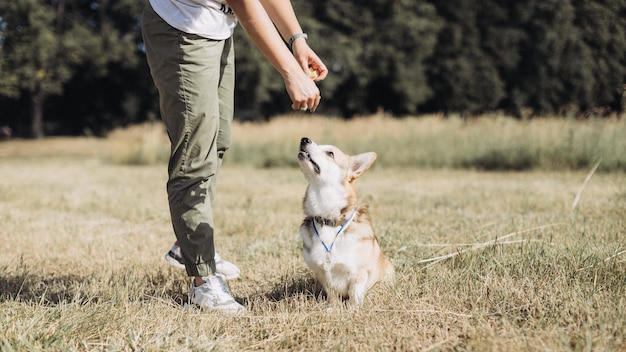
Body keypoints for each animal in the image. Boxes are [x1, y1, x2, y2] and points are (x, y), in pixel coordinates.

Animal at [296, 136, 392, 306]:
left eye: (330, 153)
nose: (304, 139)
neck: (329, 220)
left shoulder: (358, 274)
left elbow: (355, 295)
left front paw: (353, 309)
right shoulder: (323, 274)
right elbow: (332, 294)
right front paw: (333, 308)